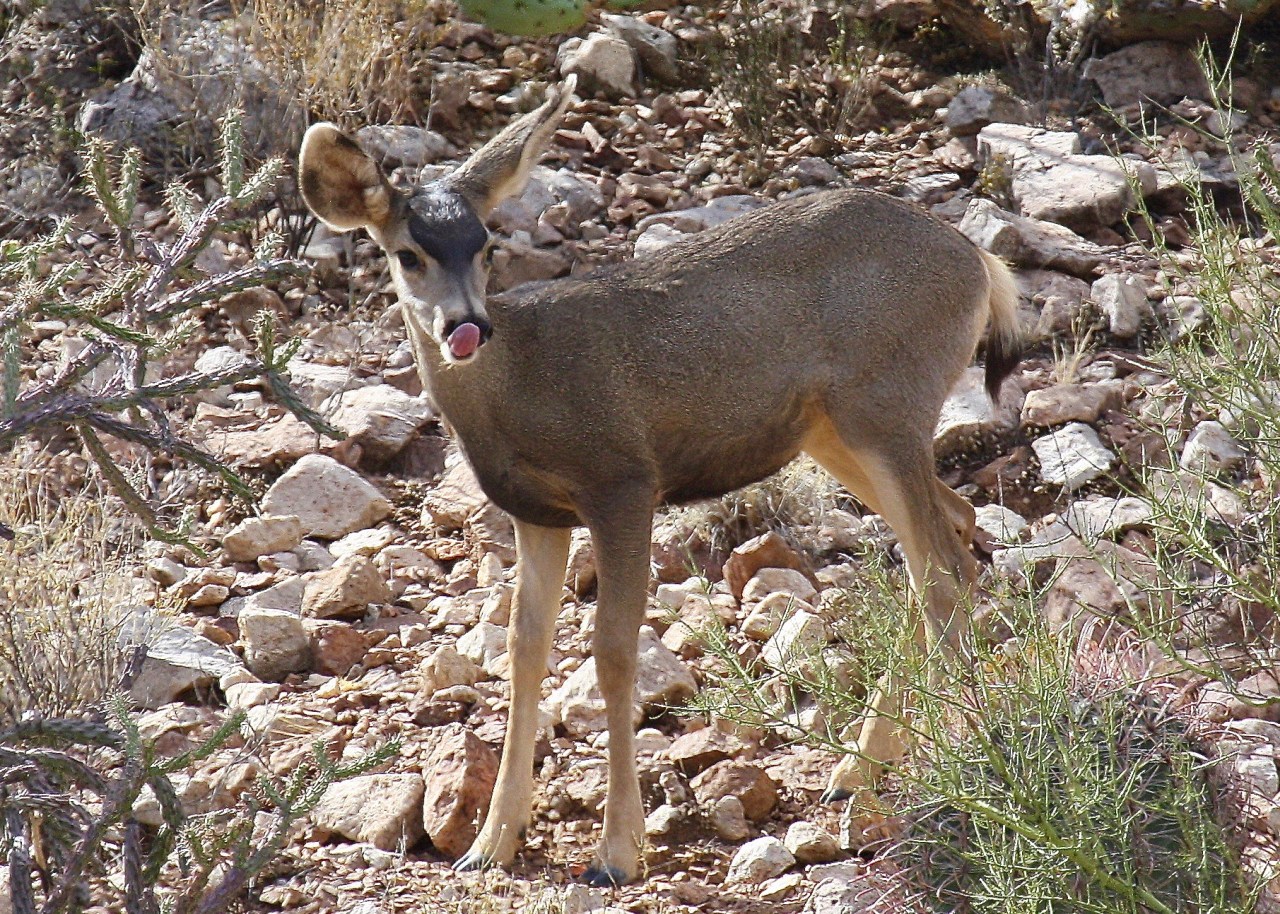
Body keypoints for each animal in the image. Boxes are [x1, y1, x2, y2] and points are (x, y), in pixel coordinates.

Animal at [298, 77, 1022, 886]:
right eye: (408, 254)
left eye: (485, 245)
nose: (467, 325)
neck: (517, 392)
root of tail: (978, 261)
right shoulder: (536, 514)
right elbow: (523, 650)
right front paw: (490, 844)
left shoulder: (621, 480)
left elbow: (613, 653)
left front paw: (616, 852)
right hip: (837, 434)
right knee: (949, 538)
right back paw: (862, 768)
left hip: (885, 409)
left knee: (941, 567)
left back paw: (957, 758)